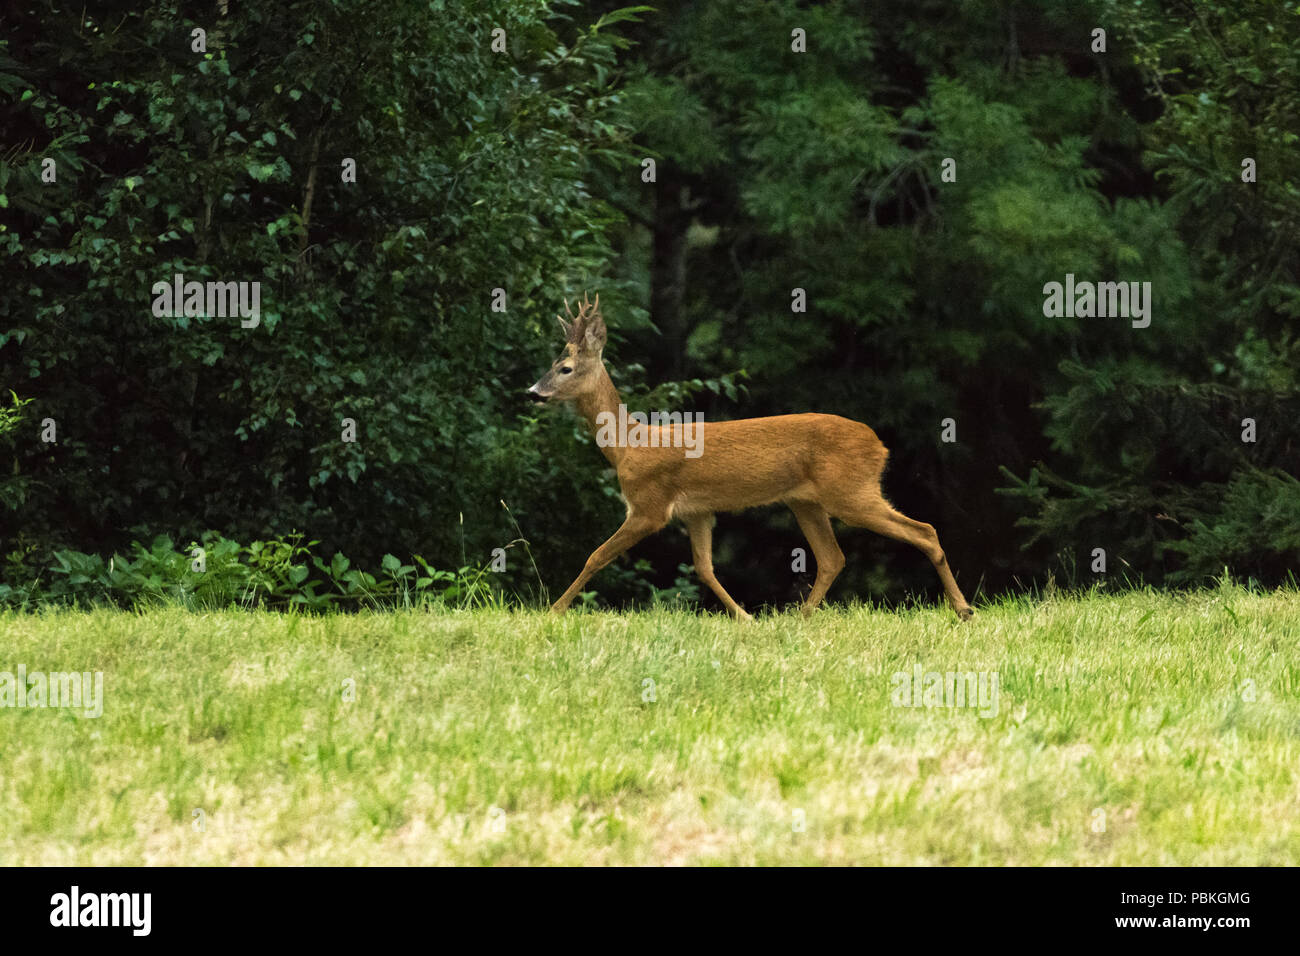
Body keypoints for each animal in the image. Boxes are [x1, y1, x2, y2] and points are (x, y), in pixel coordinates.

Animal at [527, 295, 977, 624]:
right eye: (551, 365)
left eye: (565, 368)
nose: (533, 392)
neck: (629, 444)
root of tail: (880, 446)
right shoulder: (698, 512)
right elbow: (704, 568)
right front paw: (745, 618)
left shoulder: (648, 506)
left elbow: (597, 555)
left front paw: (553, 610)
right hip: (806, 501)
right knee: (833, 557)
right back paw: (800, 617)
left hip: (850, 491)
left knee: (924, 531)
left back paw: (964, 609)